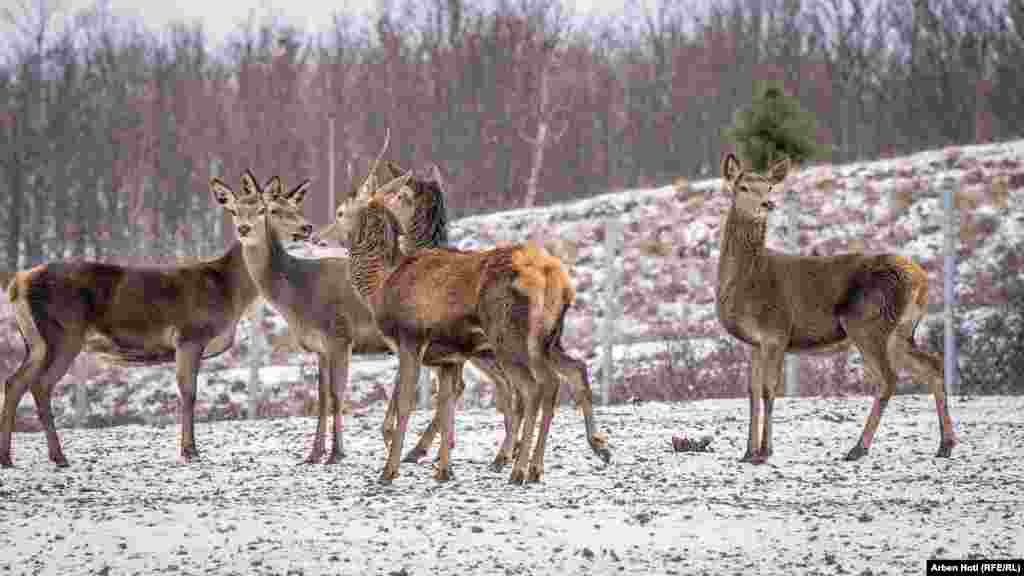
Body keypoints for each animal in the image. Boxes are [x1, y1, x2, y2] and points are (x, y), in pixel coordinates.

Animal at [1, 188, 311, 467]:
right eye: (272, 210)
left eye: (292, 207)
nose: (306, 227)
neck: (231, 293)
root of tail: (17, 283)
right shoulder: (190, 335)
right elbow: (189, 392)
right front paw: (190, 451)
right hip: (64, 333)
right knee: (40, 384)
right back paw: (58, 456)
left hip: (37, 342)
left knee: (14, 382)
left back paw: (7, 458)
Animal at [339, 171, 606, 483]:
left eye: (342, 209)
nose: (320, 233)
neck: (379, 287)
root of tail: (553, 275)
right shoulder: (449, 358)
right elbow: (446, 405)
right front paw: (444, 469)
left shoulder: (410, 340)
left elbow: (407, 402)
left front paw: (389, 470)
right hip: (548, 338)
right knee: (571, 370)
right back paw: (570, 455)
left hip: (508, 339)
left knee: (533, 388)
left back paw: (518, 468)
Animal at [712, 152, 958, 461]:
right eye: (743, 187)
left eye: (769, 187)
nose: (767, 204)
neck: (746, 282)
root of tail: (922, 280)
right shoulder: (753, 342)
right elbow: (752, 392)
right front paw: (747, 452)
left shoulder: (776, 330)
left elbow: (769, 390)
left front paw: (765, 451)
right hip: (901, 331)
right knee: (933, 365)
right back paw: (945, 444)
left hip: (867, 322)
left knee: (888, 378)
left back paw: (859, 447)